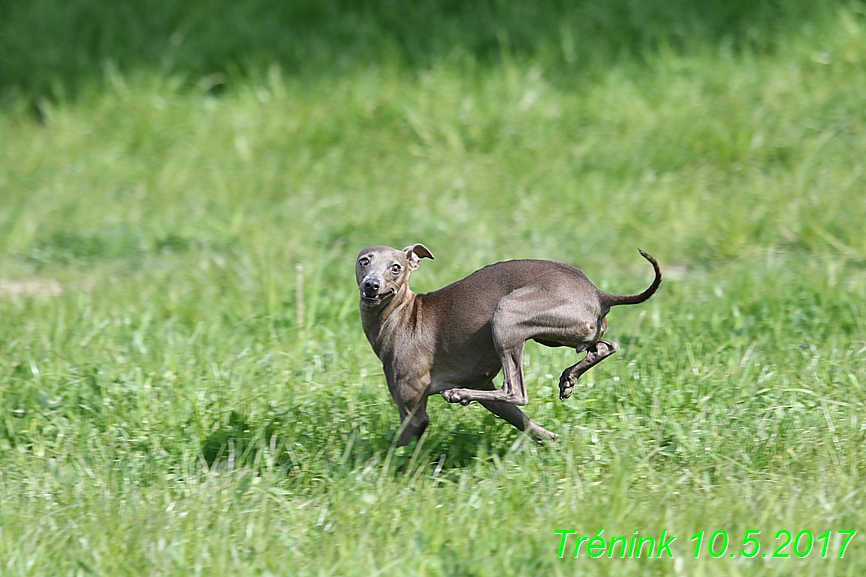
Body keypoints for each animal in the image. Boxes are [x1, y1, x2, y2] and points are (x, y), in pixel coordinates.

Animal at [354, 243, 660, 446]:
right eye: (364, 261)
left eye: (396, 268)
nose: (372, 285)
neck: (402, 315)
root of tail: (598, 292)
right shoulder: (483, 385)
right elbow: (526, 423)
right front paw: (553, 441)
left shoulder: (413, 410)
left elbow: (396, 450)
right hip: (554, 335)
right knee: (606, 345)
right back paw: (569, 378)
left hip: (507, 315)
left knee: (516, 391)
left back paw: (458, 394)